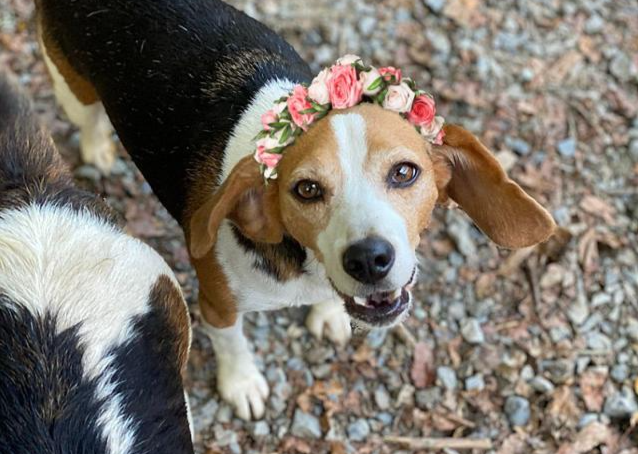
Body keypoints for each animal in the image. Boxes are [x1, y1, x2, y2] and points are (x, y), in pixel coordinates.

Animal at [37, 0, 556, 422]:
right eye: (306, 189)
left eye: (405, 173)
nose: (368, 259)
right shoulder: (217, 304)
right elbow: (232, 343)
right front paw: (242, 384)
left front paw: (327, 314)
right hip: (72, 89)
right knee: (87, 119)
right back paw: (97, 149)